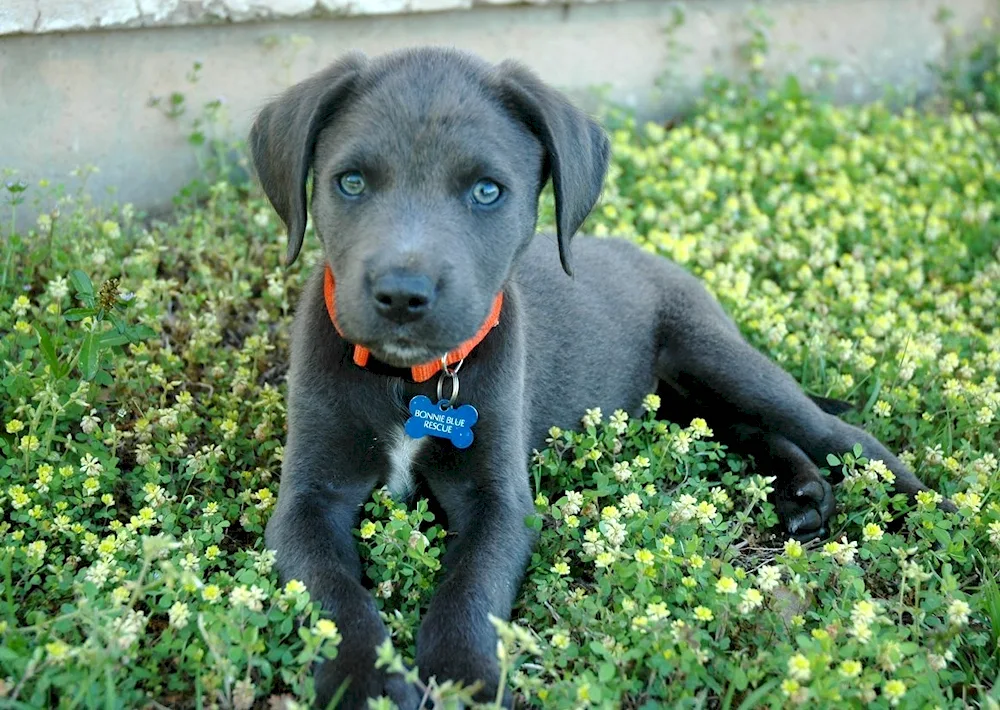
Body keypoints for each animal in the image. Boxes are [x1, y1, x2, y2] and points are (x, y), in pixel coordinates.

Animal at [250, 47, 944, 708]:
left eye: (486, 191)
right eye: (351, 182)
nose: (402, 295)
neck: (412, 379)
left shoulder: (498, 501)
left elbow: (468, 592)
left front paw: (464, 679)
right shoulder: (308, 500)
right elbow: (334, 597)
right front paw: (363, 681)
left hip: (717, 357)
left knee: (832, 430)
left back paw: (918, 505)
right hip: (677, 403)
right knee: (744, 429)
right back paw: (801, 494)